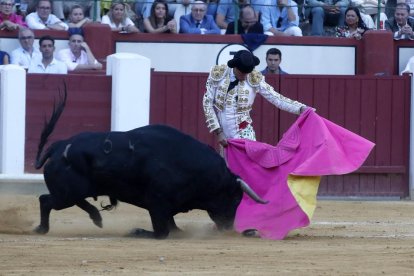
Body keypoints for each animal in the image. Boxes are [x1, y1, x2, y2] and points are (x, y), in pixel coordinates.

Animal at [36, 90, 268, 237]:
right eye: (235, 198)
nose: (229, 227)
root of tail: (58, 146)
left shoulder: (166, 207)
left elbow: (173, 228)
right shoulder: (158, 203)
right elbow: (162, 232)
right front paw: (137, 231)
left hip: (74, 190)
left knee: (71, 200)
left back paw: (96, 218)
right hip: (66, 192)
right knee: (45, 200)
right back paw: (41, 229)